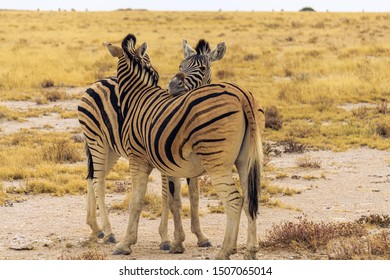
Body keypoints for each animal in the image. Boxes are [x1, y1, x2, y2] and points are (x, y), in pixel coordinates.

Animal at [77, 37, 225, 249]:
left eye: (203, 68)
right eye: (180, 65)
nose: (174, 86)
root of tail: (98, 82)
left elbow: (194, 197)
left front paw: (200, 236)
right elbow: (168, 196)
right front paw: (166, 238)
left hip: (111, 148)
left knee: (93, 177)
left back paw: (96, 228)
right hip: (96, 140)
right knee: (99, 181)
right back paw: (109, 232)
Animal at [105, 33, 264, 260]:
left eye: (203, 68)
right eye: (180, 64)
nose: (172, 86)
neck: (137, 96)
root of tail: (242, 94)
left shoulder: (138, 159)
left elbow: (136, 201)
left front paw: (125, 244)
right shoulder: (171, 165)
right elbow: (174, 200)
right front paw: (177, 243)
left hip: (217, 163)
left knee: (234, 201)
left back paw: (225, 251)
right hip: (245, 161)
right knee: (251, 198)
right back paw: (250, 250)